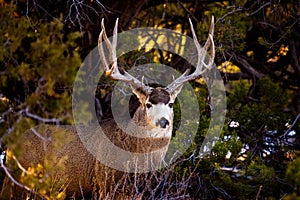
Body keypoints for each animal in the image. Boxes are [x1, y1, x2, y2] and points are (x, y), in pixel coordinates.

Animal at [1, 16, 214, 198]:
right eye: (148, 104)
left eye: (170, 103)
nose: (163, 122)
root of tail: (11, 145)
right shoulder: (105, 183)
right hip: (17, 181)